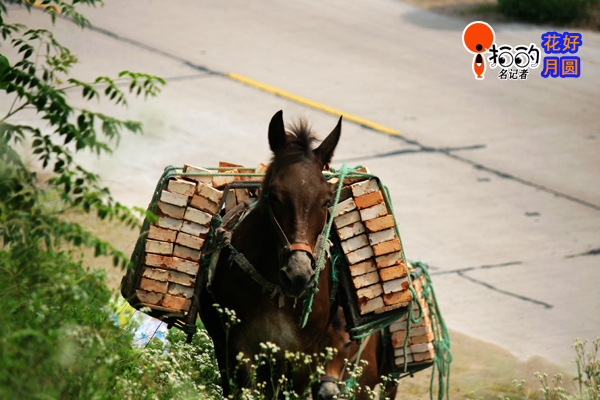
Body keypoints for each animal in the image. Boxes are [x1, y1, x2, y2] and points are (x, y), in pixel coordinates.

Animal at [199, 110, 342, 398]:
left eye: (326, 201)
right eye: (274, 196)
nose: (298, 275)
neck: (278, 294)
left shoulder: (303, 356)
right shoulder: (239, 346)